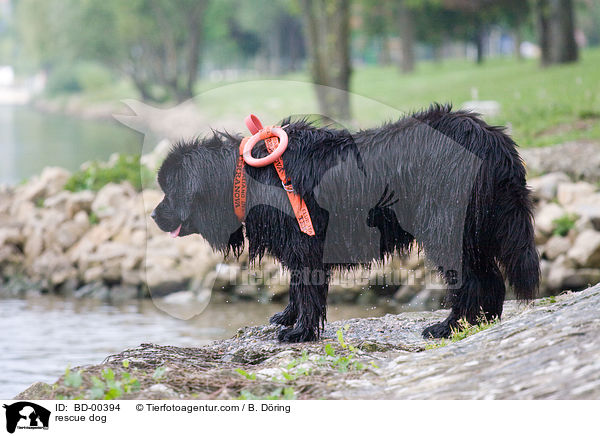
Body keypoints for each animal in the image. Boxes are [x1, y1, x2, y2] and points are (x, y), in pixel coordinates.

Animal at [152, 104, 540, 342]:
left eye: (170, 190)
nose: (154, 215)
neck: (252, 176)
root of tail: (491, 138)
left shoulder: (307, 242)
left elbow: (308, 289)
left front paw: (299, 333)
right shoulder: (299, 244)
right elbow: (296, 287)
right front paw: (288, 318)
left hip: (445, 225)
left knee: (469, 279)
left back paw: (448, 326)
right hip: (480, 227)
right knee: (490, 276)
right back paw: (484, 321)